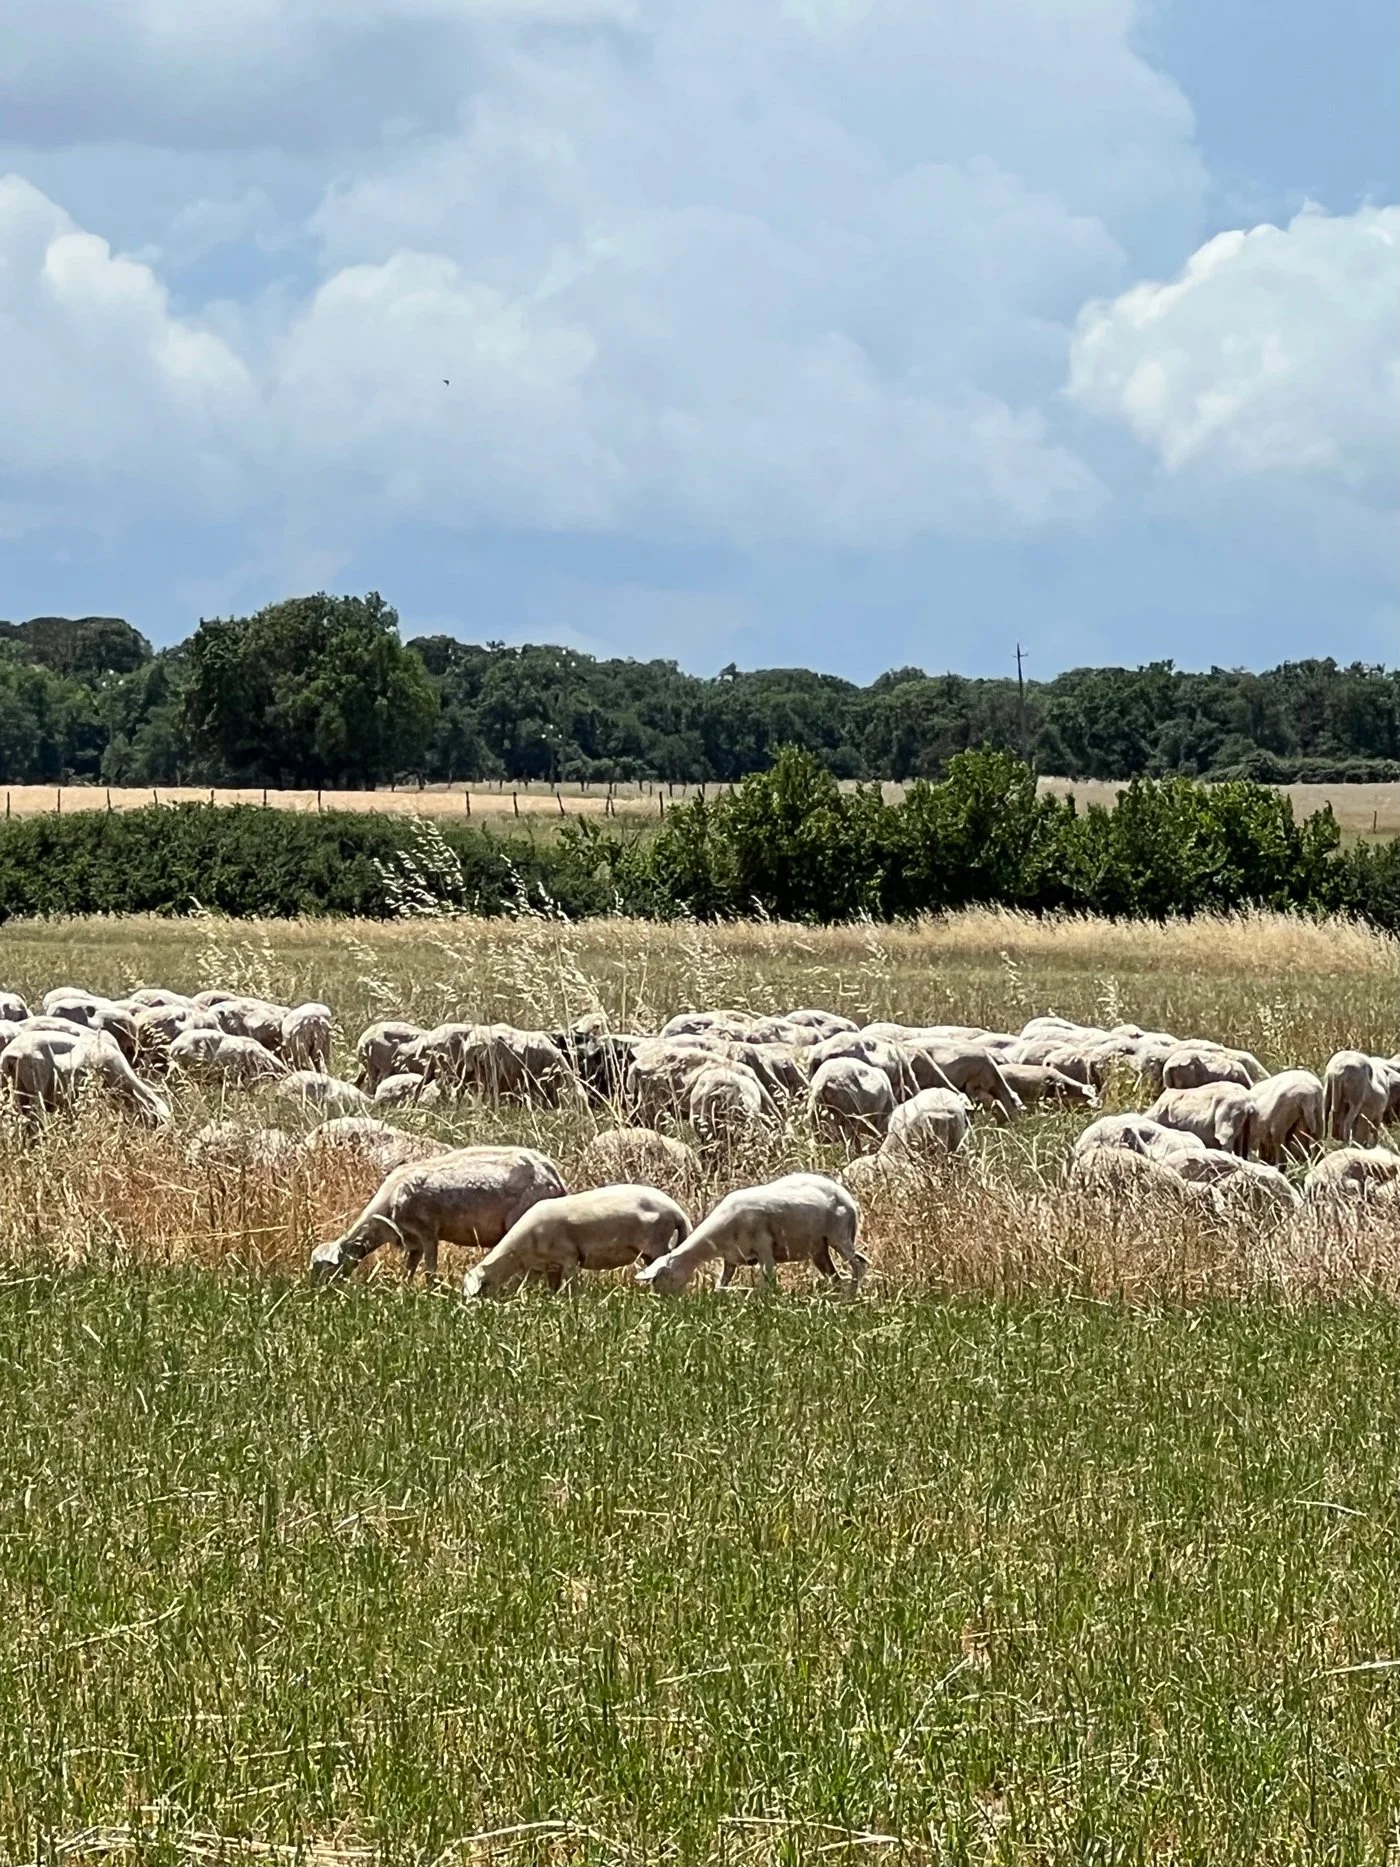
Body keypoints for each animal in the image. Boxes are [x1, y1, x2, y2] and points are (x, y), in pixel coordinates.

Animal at [308, 1144, 567, 1281]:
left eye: (326, 1269)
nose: (315, 1296)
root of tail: (554, 1175)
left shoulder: (428, 1233)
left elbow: (429, 1271)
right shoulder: (413, 1241)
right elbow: (410, 1269)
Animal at [463, 1185, 692, 1297]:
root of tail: (675, 1210)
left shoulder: (569, 1257)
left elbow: (571, 1285)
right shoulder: (545, 1266)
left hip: (657, 1243)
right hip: (649, 1250)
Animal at [636, 1172, 866, 1295]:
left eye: (660, 1278)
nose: (662, 1304)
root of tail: (848, 1199)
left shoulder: (764, 1248)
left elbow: (770, 1284)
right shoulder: (731, 1258)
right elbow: (721, 1286)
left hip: (839, 1235)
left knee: (859, 1265)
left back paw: (852, 1296)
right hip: (819, 1248)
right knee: (837, 1276)